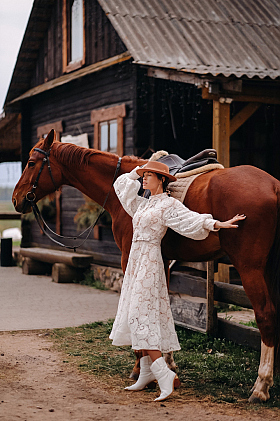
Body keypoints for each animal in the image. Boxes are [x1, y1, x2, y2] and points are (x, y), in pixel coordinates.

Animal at [12, 130, 280, 402]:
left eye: (31, 163)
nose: (16, 198)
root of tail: (274, 185)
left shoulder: (129, 257)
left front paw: (141, 367)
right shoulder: (164, 260)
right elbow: (163, 309)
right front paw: (167, 363)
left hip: (250, 267)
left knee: (266, 316)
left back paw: (261, 385)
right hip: (269, 268)